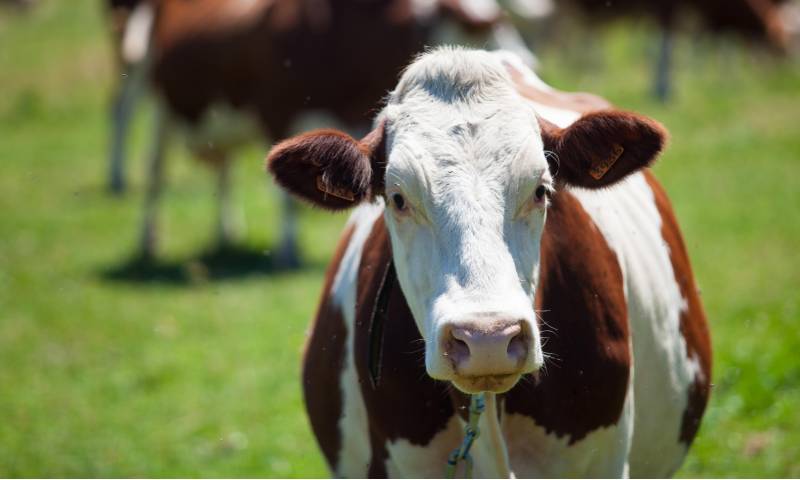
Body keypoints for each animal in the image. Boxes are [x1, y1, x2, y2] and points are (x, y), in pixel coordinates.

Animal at [112, 0, 536, 266]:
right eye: (485, 27)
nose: (528, 60)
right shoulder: (277, 111)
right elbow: (285, 199)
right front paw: (287, 250)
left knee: (224, 168)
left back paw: (227, 232)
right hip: (154, 94)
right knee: (152, 165)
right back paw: (148, 239)